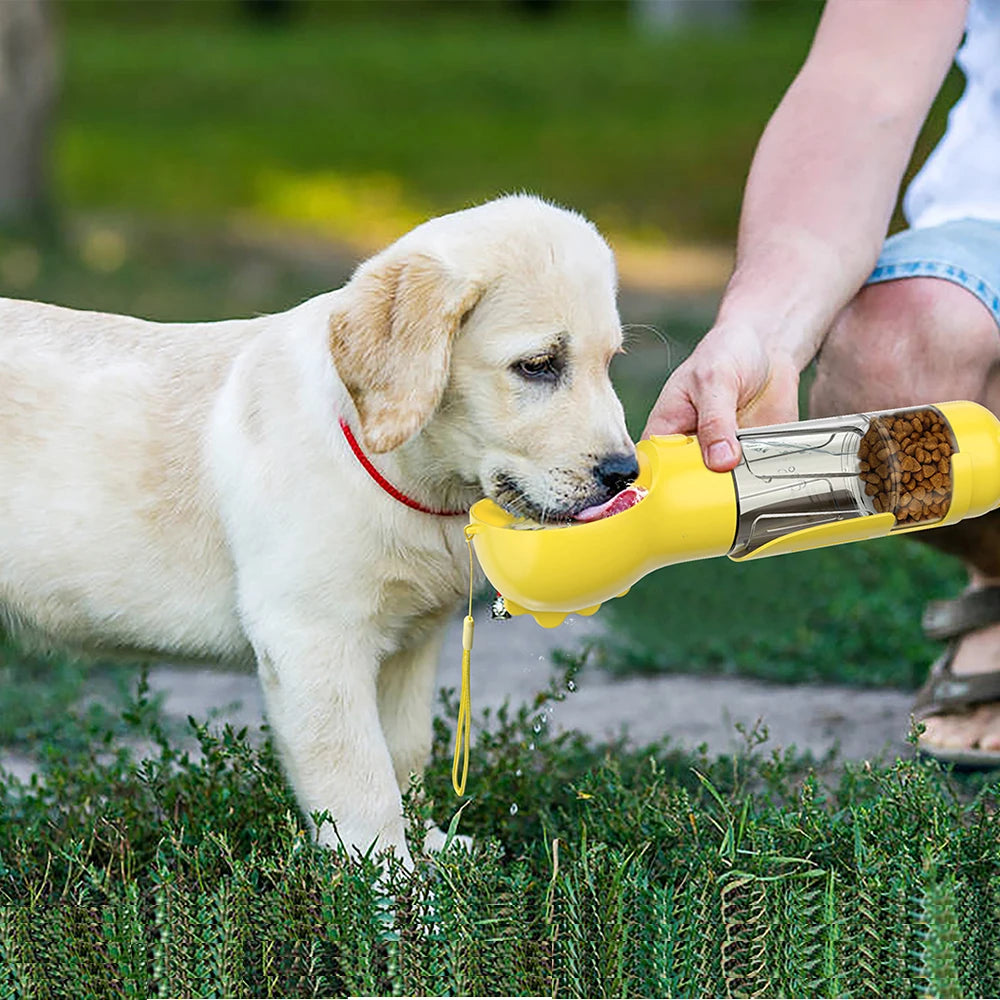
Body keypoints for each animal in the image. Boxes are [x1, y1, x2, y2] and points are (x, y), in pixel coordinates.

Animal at [0, 195, 636, 868]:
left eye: (609, 363)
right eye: (538, 366)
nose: (626, 473)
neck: (410, 477)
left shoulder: (411, 644)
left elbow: (405, 755)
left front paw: (430, 849)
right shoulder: (312, 638)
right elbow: (359, 777)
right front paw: (388, 881)